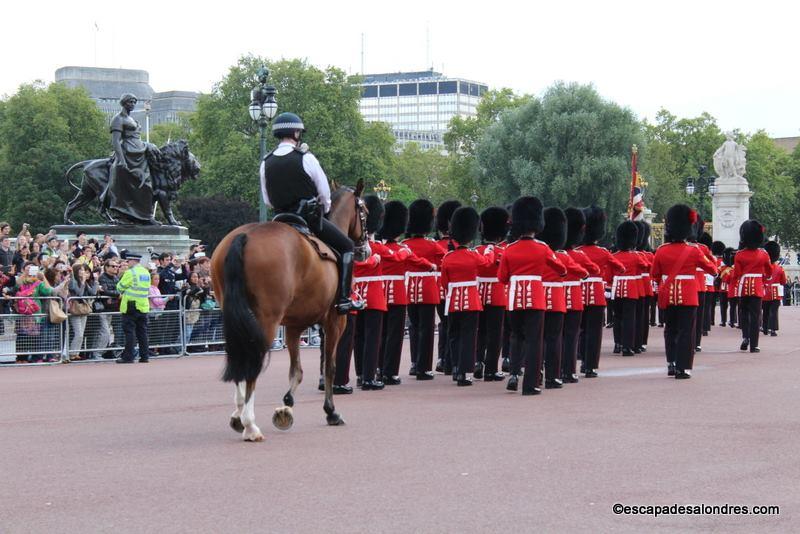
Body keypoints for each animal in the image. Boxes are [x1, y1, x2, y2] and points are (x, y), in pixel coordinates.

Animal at [211, 182, 370, 442]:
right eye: (364, 210)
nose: (365, 249)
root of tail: (244, 236)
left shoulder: (294, 326)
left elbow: (296, 370)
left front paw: (286, 406)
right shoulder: (335, 322)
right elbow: (329, 367)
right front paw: (331, 411)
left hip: (234, 317)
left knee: (239, 356)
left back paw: (239, 413)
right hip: (267, 320)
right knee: (253, 362)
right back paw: (250, 425)